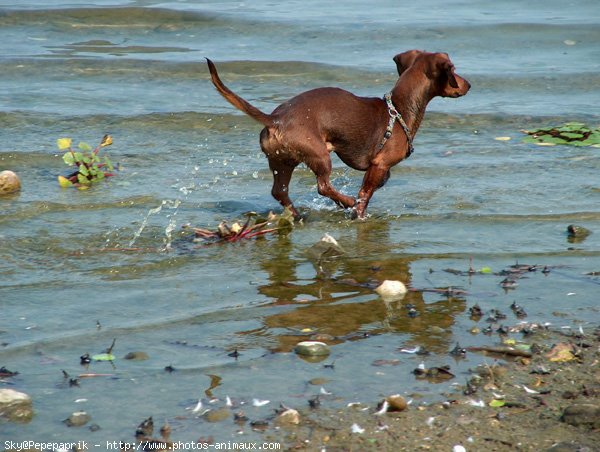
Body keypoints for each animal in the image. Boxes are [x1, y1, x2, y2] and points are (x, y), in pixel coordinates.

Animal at [206, 50, 468, 219]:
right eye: (454, 70)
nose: (469, 85)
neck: (399, 109)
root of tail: (276, 119)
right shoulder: (379, 164)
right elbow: (365, 194)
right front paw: (358, 211)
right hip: (320, 156)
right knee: (323, 186)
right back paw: (346, 202)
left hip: (282, 161)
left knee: (279, 191)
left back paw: (297, 215)